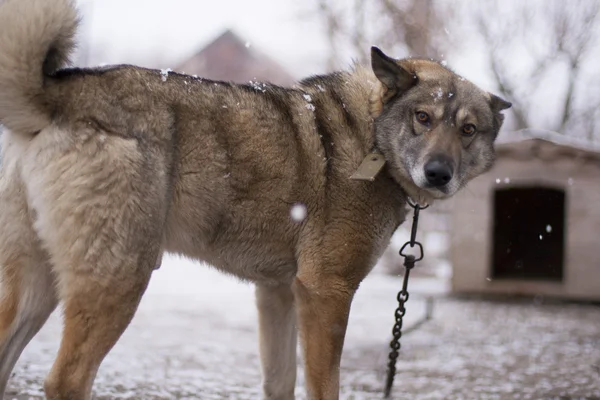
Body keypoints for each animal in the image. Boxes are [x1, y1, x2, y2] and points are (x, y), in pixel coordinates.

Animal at [0, 0, 510, 396]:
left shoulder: (278, 293)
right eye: (423, 117)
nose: (439, 174)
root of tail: (59, 91)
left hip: (39, 284)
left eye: (468, 130)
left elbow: (280, 383)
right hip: (119, 278)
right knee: (65, 381)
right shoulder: (326, 292)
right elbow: (324, 386)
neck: (370, 136)